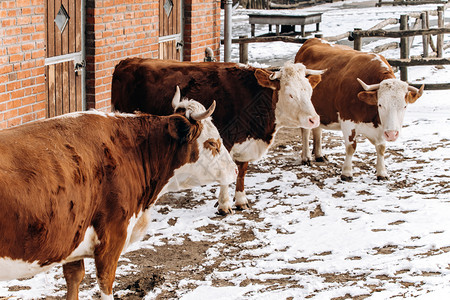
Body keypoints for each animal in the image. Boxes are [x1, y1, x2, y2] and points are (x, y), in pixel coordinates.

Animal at [0, 90, 237, 298]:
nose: (235, 169)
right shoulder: (112, 237)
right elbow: (106, 284)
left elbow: (74, 280)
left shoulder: (72, 238)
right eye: (212, 143)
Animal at [294, 38, 424, 182]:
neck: (373, 117)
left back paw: (319, 155)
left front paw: (382, 172)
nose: (392, 134)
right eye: (380, 105)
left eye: (404, 106)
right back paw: (306, 157)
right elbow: (351, 147)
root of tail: (312, 40)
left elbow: (381, 148)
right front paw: (346, 173)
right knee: (305, 132)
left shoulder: (382, 127)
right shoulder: (347, 120)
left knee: (317, 129)